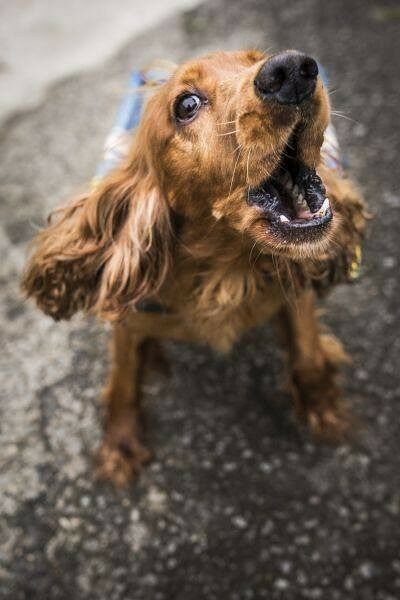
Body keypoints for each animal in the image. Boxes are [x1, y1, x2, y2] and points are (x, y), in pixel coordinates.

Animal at [21, 49, 366, 486]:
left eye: (255, 58)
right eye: (186, 105)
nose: (291, 69)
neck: (224, 270)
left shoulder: (296, 290)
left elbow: (307, 356)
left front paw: (323, 408)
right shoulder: (129, 322)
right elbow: (122, 382)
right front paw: (120, 447)